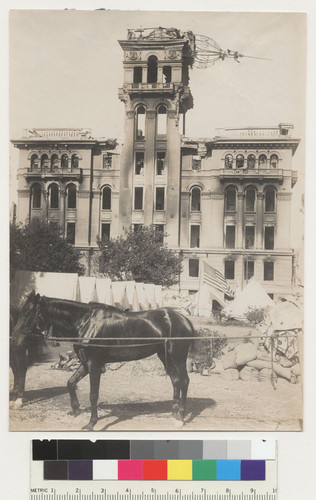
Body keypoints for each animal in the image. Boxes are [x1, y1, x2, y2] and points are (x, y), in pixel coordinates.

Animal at [10, 292, 193, 428]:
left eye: (28, 312)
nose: (14, 340)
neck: (85, 323)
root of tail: (184, 320)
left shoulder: (95, 365)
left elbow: (93, 394)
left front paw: (91, 423)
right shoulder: (85, 364)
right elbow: (70, 383)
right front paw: (76, 411)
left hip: (177, 357)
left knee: (184, 381)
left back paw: (180, 418)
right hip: (165, 357)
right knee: (176, 381)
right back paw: (174, 414)